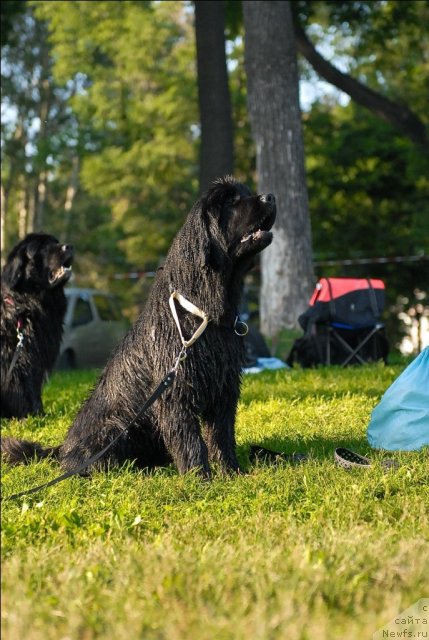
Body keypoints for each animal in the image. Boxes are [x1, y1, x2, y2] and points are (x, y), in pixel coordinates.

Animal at [0, 234, 73, 420]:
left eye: (56, 242)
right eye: (44, 247)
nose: (69, 246)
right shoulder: (22, 356)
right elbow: (25, 387)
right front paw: (34, 415)